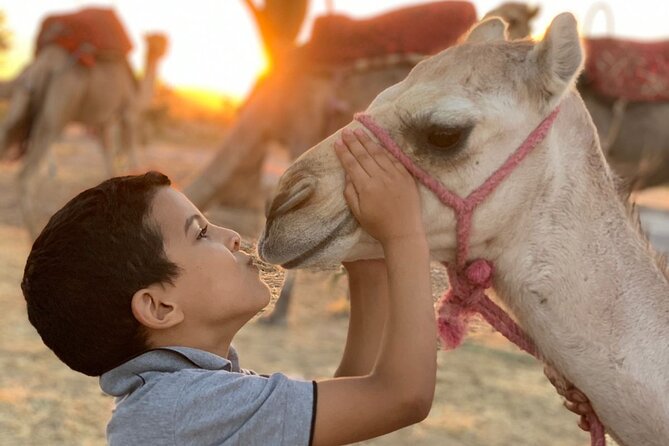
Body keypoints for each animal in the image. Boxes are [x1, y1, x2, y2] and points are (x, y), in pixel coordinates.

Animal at [0, 7, 166, 237]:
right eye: (155, 42)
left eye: (162, 42)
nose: (162, 50)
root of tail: (44, 65)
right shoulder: (126, 113)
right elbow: (130, 157)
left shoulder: (103, 123)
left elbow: (110, 164)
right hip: (57, 111)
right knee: (25, 176)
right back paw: (35, 235)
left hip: (21, 105)